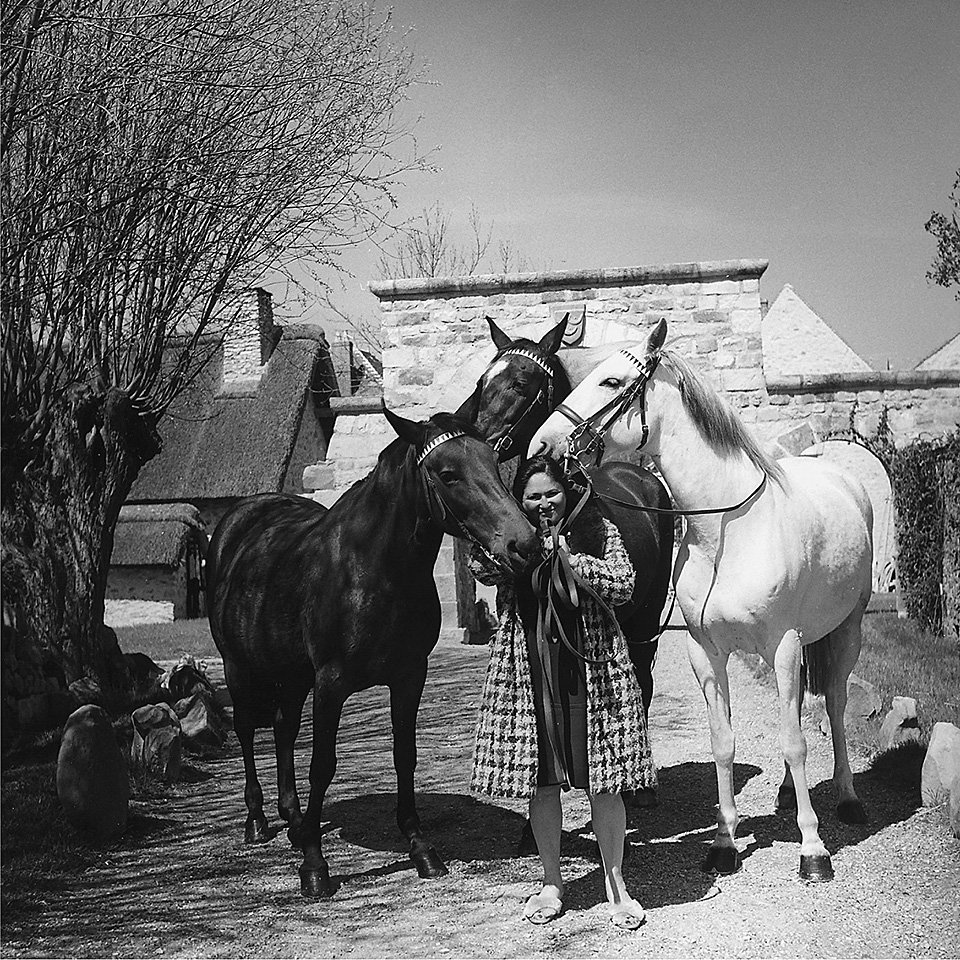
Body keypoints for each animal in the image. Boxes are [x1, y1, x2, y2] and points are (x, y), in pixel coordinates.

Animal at [207, 404, 540, 892]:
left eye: (494, 464)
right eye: (448, 474)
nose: (524, 543)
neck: (371, 570)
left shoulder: (409, 676)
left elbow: (405, 756)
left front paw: (421, 849)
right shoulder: (330, 684)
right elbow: (322, 764)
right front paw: (314, 866)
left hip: (292, 675)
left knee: (284, 729)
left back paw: (294, 821)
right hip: (239, 668)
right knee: (249, 730)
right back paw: (258, 821)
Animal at [528, 318, 872, 880]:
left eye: (611, 380)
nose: (542, 445)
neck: (728, 532)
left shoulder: (783, 645)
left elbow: (796, 742)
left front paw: (812, 849)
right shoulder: (705, 651)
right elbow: (724, 742)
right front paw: (724, 842)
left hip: (849, 629)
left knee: (836, 707)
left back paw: (846, 798)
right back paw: (786, 794)